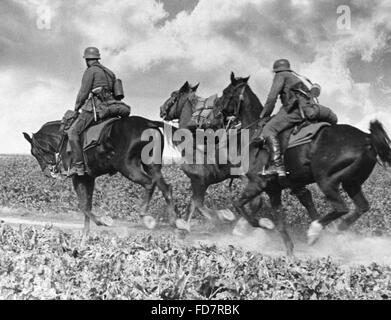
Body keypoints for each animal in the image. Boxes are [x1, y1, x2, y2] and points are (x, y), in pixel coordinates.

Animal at [23, 116, 177, 244]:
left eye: (35, 152)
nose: (47, 173)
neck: (63, 139)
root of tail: (149, 123)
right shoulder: (88, 178)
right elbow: (87, 205)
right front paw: (85, 238)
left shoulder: (78, 178)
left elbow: (83, 206)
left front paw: (103, 221)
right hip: (152, 166)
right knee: (166, 188)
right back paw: (175, 222)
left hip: (127, 166)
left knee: (149, 183)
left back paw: (145, 217)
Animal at [219, 76, 391, 254]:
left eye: (226, 92)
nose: (219, 115)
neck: (254, 135)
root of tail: (367, 137)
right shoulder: (274, 190)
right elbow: (280, 222)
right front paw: (289, 252)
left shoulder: (257, 183)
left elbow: (239, 205)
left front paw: (254, 225)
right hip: (351, 183)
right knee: (361, 208)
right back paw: (334, 230)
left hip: (326, 180)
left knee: (341, 208)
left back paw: (315, 232)